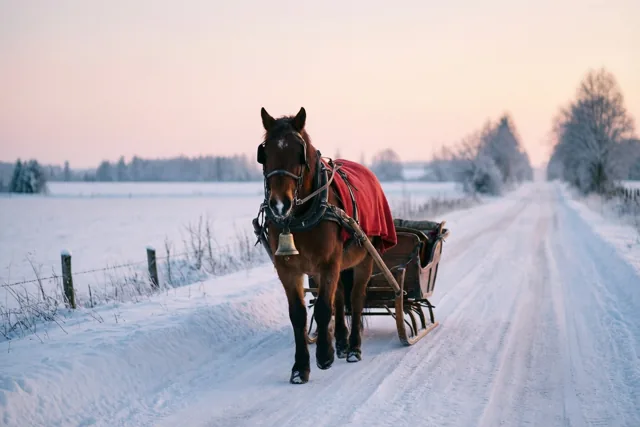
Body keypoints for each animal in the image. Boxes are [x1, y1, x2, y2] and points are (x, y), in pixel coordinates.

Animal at [253, 107, 395, 384]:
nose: (279, 205)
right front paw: (300, 367)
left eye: (300, 153)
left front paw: (324, 356)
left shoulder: (329, 261)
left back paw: (353, 348)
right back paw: (340, 342)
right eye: (265, 154)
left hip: (365, 258)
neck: (299, 216)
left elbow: (321, 308)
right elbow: (299, 314)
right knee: (339, 297)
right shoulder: (288, 268)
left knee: (356, 298)